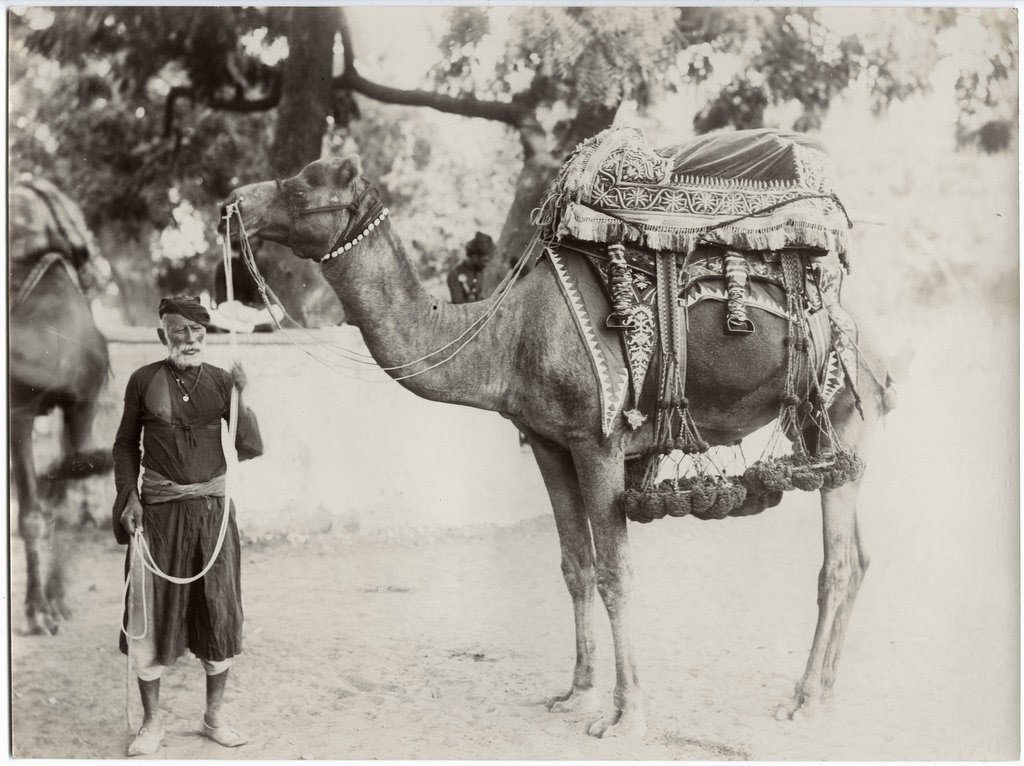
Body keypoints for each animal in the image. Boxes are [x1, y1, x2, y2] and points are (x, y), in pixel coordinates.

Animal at [226, 128, 897, 737]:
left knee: (836, 564)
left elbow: (615, 574)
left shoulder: (598, 442)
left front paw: (627, 716)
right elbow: (576, 567)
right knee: (861, 555)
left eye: (299, 186)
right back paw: (826, 692)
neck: (508, 336)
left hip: (840, 409)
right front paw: (576, 694)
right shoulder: (549, 443)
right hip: (825, 433)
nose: (233, 206)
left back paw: (802, 701)